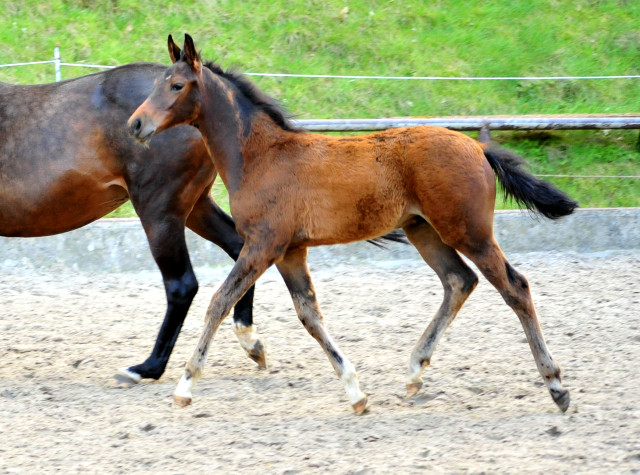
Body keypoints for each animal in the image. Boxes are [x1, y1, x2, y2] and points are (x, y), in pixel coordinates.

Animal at [130, 35, 580, 414]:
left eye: (177, 86)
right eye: (157, 84)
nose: (135, 124)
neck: (260, 155)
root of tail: (478, 146)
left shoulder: (263, 245)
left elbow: (219, 302)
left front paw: (185, 386)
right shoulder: (290, 251)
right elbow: (309, 315)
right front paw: (356, 393)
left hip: (469, 232)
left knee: (515, 287)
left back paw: (556, 386)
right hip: (424, 231)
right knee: (459, 281)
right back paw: (414, 372)